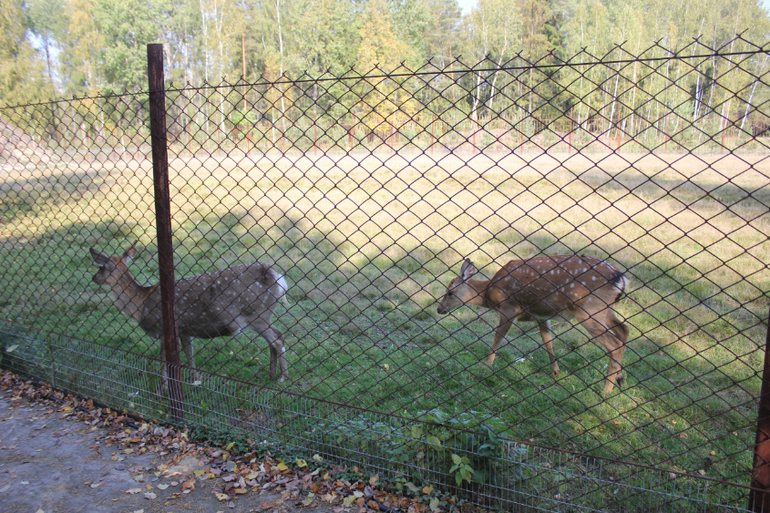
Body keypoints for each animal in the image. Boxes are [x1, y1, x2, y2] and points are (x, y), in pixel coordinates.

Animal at [90, 242, 288, 394]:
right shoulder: (185, 330)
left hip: (257, 313)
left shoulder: (162, 328)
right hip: (262, 315)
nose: (93, 277)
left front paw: (163, 389)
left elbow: (164, 360)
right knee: (276, 337)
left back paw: (282, 378)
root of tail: (277, 277)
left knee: (278, 339)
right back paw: (271, 374)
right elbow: (189, 354)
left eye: (101, 266)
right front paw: (195, 380)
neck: (141, 303)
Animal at [436, 255, 628, 392]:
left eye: (450, 292)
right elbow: (547, 340)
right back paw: (620, 379)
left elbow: (497, 338)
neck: (490, 294)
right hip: (604, 309)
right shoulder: (541, 315)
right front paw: (555, 372)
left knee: (614, 343)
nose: (439, 309)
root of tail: (620, 279)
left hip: (588, 308)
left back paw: (606, 390)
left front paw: (487, 366)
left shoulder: (509, 308)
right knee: (624, 330)